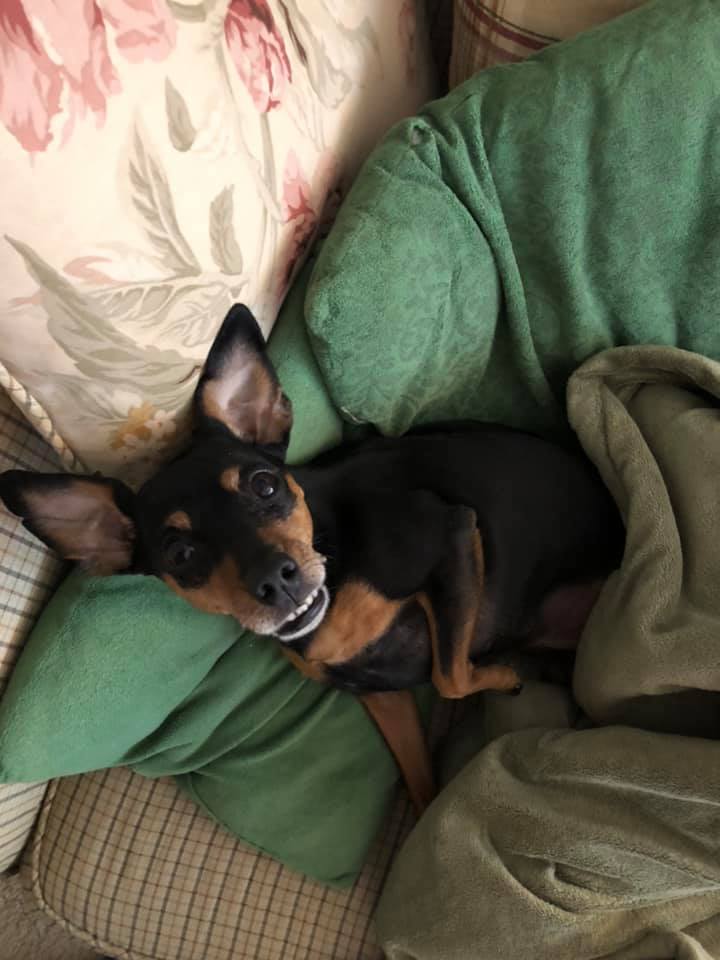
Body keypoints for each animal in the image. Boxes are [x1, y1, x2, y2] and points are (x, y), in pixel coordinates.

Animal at [0, 306, 620, 808]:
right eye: (180, 553)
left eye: (265, 485)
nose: (277, 580)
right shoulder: (383, 697)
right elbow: (421, 791)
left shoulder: (452, 532)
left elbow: (449, 675)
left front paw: (503, 676)